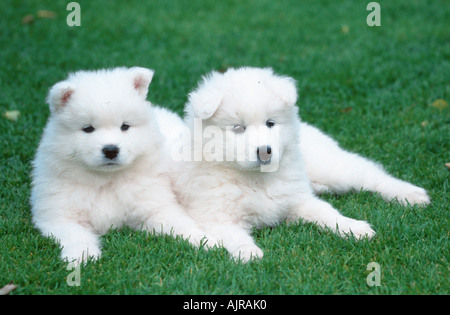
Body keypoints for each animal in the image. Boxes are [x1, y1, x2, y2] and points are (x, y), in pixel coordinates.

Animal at [31, 67, 213, 264]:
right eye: (88, 128)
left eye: (125, 126)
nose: (111, 150)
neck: (106, 181)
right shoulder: (60, 215)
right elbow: (75, 234)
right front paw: (81, 255)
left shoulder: (154, 205)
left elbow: (179, 222)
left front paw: (203, 240)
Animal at [171, 68, 428, 262]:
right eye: (238, 128)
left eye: (270, 123)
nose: (265, 151)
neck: (257, 179)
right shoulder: (215, 216)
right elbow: (234, 235)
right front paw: (249, 252)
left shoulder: (297, 199)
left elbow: (327, 213)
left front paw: (354, 228)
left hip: (328, 166)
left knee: (369, 173)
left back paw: (411, 195)